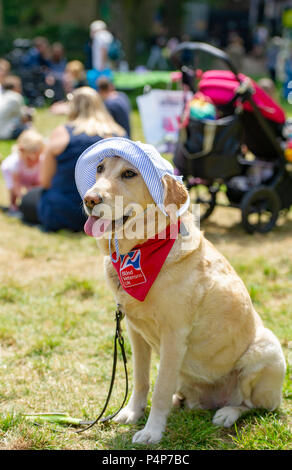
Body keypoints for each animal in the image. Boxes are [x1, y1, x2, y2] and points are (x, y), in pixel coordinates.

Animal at [76, 139, 286, 444]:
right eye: (100, 169)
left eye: (129, 173)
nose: (90, 199)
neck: (141, 248)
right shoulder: (135, 332)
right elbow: (141, 380)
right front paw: (133, 413)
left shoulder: (174, 337)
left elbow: (160, 389)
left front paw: (152, 431)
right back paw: (185, 401)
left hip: (267, 351)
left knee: (250, 405)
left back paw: (227, 413)